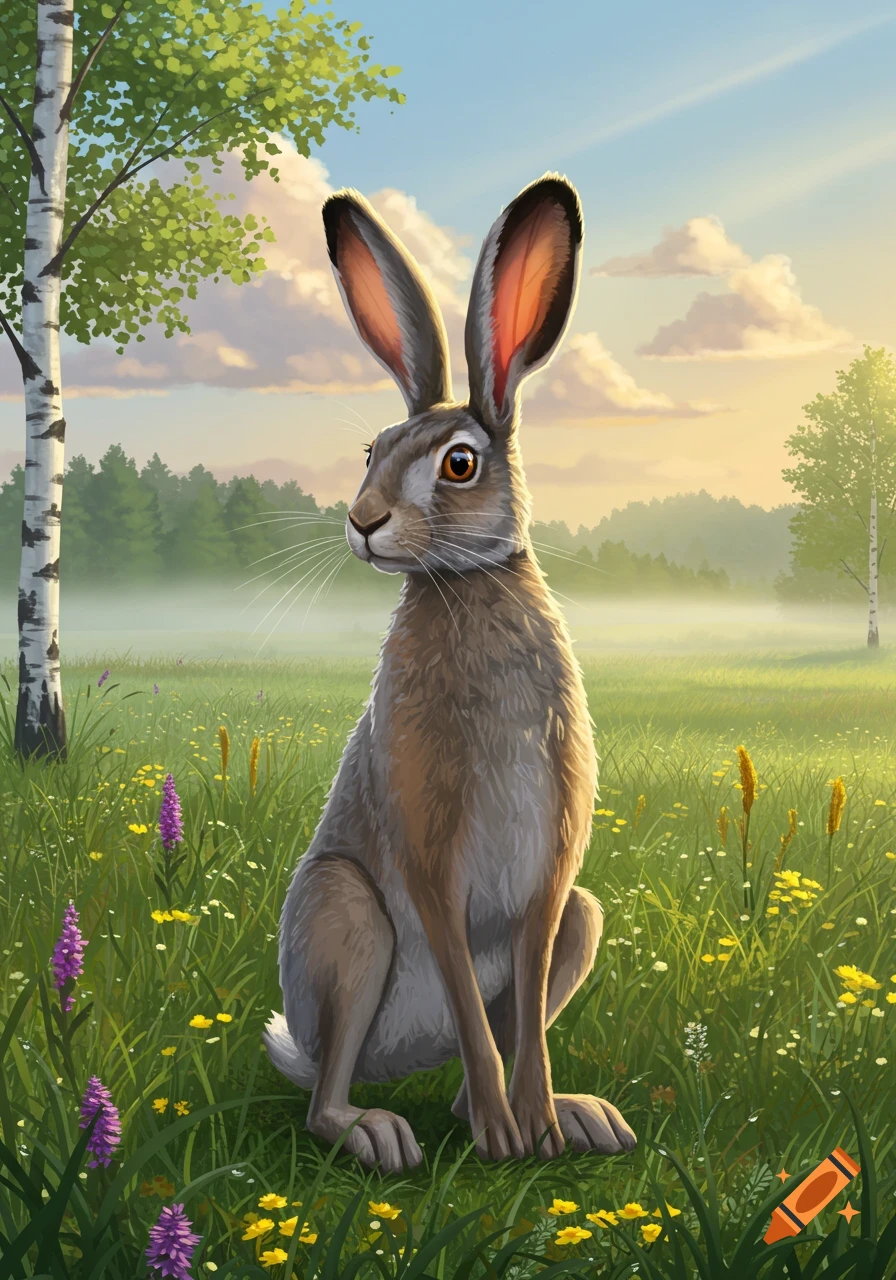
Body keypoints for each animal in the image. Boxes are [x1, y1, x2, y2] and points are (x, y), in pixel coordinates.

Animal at [264, 173, 637, 1173]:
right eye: (372, 449)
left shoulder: (550, 874)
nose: (363, 520)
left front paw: (535, 1128)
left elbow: (520, 1013)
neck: (462, 583)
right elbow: (471, 999)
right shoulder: (430, 858)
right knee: (326, 1096)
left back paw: (574, 1117)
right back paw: (383, 1132)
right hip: (348, 920)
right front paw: (508, 1141)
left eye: (459, 463)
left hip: (581, 915)